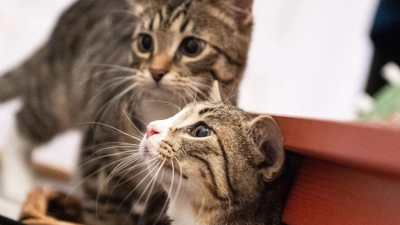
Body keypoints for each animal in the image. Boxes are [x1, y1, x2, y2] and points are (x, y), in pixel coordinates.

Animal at [0, 0, 253, 224]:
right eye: (145, 42)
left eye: (191, 47)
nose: (156, 71)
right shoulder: (98, 162)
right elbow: (104, 210)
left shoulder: (164, 198)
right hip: (57, 99)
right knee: (23, 123)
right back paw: (17, 186)